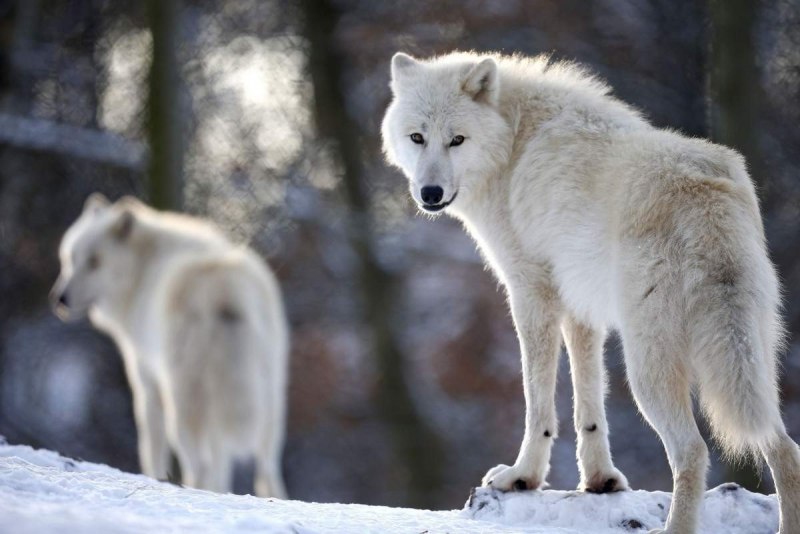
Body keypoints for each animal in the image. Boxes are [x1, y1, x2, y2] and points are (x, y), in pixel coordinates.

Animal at [51, 194, 289, 498]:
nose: (60, 299)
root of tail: (226, 291)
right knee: (266, 470)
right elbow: (222, 462)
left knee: (200, 464)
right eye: (70, 259)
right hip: (268, 403)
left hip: (184, 403)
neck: (141, 271)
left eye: (94, 262)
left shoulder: (147, 382)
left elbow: (151, 447)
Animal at [382, 51, 800, 533]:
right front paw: (601, 480)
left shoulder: (531, 292)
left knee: (693, 451)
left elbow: (537, 401)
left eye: (457, 140)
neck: (513, 141)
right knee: (784, 446)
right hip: (750, 361)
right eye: (417, 137)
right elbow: (589, 400)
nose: (430, 193)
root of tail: (706, 197)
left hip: (648, 370)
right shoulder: (581, 306)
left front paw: (523, 477)